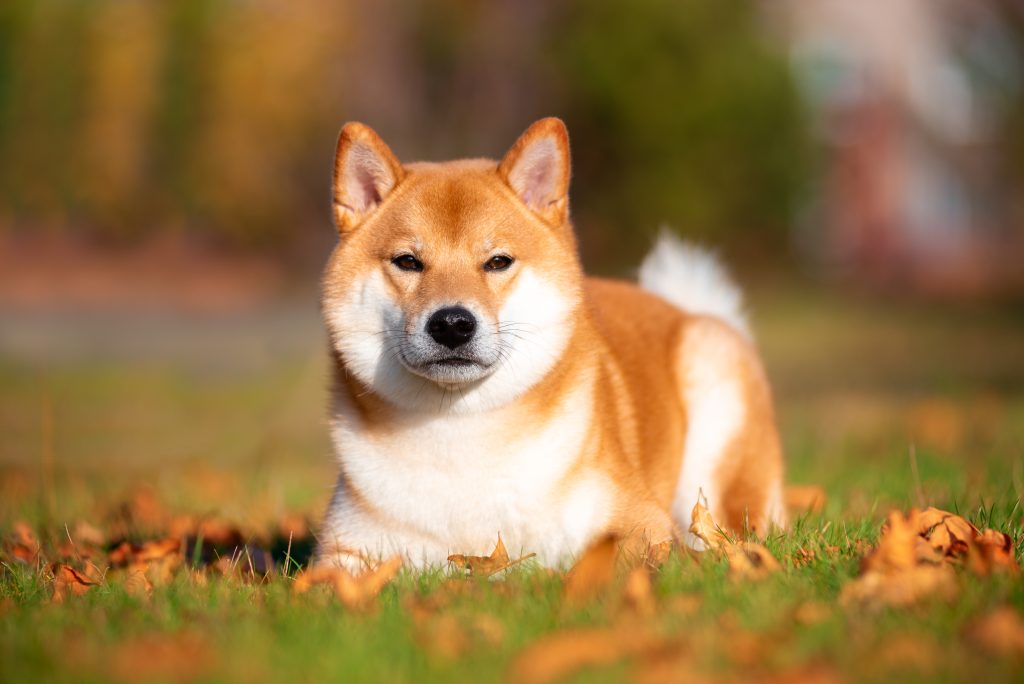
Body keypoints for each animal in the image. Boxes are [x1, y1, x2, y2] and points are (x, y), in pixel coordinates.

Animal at [316, 117, 785, 570]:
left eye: (498, 261)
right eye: (408, 262)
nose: (451, 324)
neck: (458, 430)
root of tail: (678, 306)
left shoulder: (642, 522)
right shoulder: (347, 547)